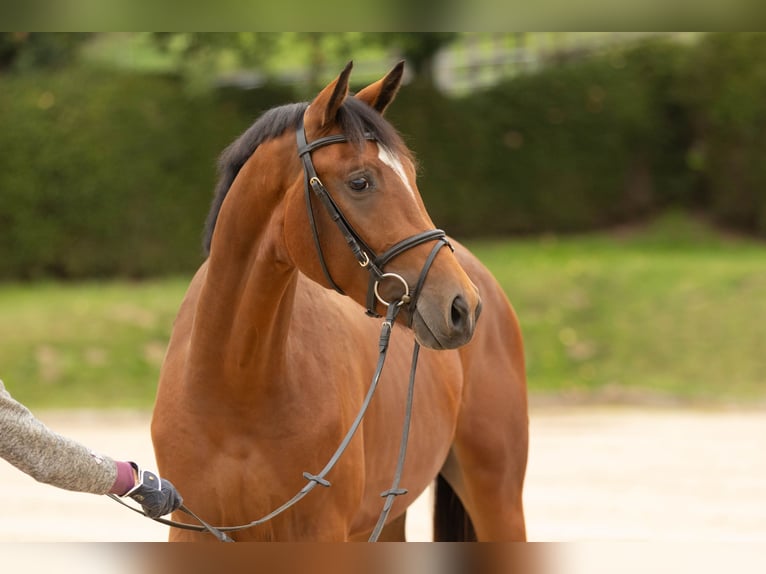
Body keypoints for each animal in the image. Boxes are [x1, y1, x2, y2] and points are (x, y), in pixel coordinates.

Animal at [153, 63, 532, 544]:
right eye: (360, 182)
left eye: (411, 175)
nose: (461, 306)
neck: (236, 388)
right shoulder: (192, 531)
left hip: (496, 495)